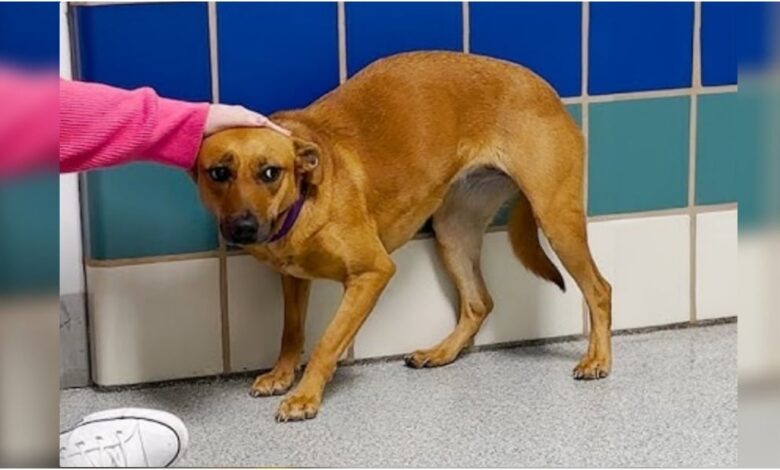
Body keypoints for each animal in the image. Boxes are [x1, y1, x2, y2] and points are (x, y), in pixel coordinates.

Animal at [193, 51, 608, 422]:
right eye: (219, 173)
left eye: (270, 173)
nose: (243, 228)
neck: (304, 197)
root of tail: (547, 91)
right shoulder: (293, 279)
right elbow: (291, 332)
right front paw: (281, 374)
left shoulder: (372, 273)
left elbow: (327, 341)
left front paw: (305, 396)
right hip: (452, 232)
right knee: (479, 303)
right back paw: (442, 352)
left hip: (556, 220)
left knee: (599, 290)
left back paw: (598, 359)